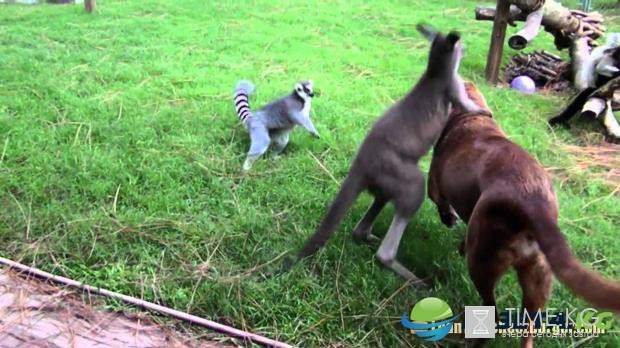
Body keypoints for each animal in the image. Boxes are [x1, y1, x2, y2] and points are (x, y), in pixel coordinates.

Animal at [428, 83, 620, 346]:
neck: (471, 116)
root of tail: (535, 205)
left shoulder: (435, 188)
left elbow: (442, 204)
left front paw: (449, 218)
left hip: (483, 264)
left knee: (493, 313)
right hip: (538, 280)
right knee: (528, 329)